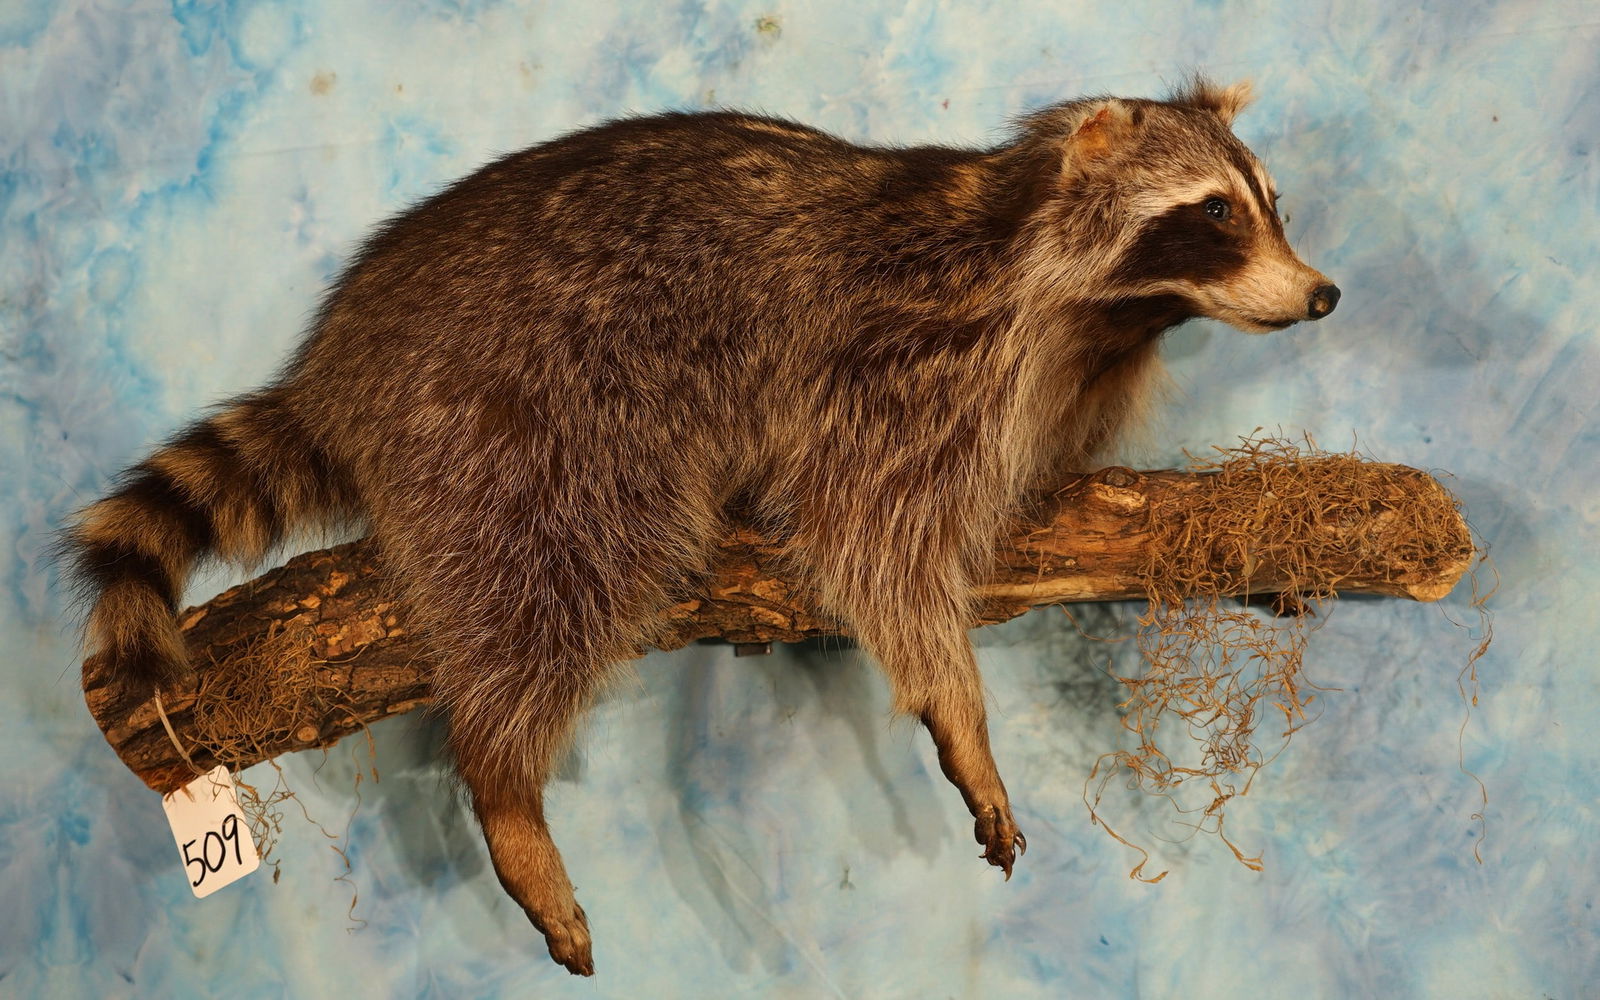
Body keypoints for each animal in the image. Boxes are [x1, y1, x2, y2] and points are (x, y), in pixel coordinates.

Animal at [65, 78, 1337, 974]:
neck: (1092, 309)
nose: (1323, 293)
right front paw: (959, 711)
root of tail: (347, 356)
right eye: (1213, 213)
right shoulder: (902, 363)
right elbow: (872, 544)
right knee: (557, 577)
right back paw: (503, 778)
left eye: (1273, 204)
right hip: (524, 413)